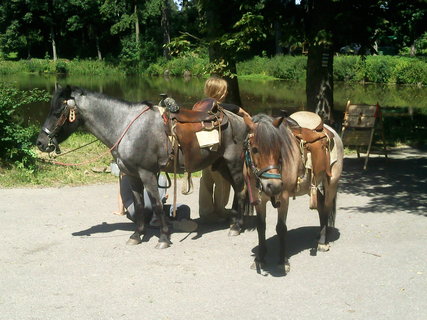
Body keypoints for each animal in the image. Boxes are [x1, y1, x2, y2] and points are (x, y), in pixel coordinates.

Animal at [38, 86, 249, 249]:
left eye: (58, 112)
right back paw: (235, 221)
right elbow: (139, 205)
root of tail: (237, 118)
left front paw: (163, 238)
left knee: (241, 190)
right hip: (221, 165)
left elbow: (156, 204)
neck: (127, 127)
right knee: (239, 190)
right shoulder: (132, 175)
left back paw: (237, 227)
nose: (40, 142)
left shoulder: (147, 174)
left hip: (234, 163)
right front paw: (137, 235)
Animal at [244, 114, 344, 274]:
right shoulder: (259, 200)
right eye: (254, 149)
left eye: (279, 149)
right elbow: (261, 226)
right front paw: (260, 259)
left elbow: (281, 228)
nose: (274, 186)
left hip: (331, 184)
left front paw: (282, 261)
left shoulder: (284, 198)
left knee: (327, 208)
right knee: (321, 207)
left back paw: (322, 242)